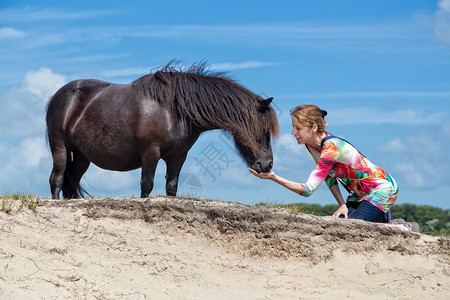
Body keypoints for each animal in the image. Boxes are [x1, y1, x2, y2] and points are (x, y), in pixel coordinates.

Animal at [45, 62, 278, 199]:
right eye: (262, 129)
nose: (266, 165)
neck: (175, 110)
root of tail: (57, 96)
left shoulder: (178, 157)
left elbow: (171, 188)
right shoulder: (151, 153)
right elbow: (146, 186)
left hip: (82, 155)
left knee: (72, 181)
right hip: (61, 148)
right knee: (57, 179)